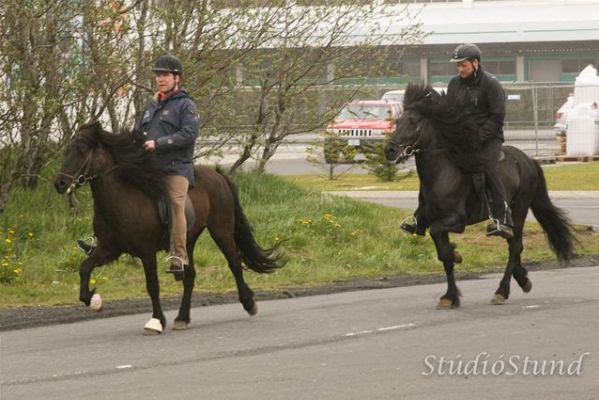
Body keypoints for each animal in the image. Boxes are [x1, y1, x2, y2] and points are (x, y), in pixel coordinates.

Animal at [54, 122, 284, 334]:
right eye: (67, 150)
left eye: (82, 150)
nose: (60, 184)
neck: (123, 200)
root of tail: (218, 175)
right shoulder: (109, 249)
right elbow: (84, 268)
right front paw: (94, 300)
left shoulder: (146, 252)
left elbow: (152, 286)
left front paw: (156, 321)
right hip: (187, 240)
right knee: (190, 276)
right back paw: (182, 318)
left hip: (221, 230)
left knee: (234, 263)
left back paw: (249, 303)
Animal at [384, 83, 576, 310]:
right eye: (397, 121)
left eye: (414, 122)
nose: (389, 150)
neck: (441, 174)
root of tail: (528, 160)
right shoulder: (434, 220)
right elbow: (443, 257)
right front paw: (449, 296)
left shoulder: (455, 221)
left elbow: (442, 245)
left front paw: (455, 254)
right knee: (514, 247)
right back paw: (522, 278)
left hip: (519, 209)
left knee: (515, 247)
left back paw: (502, 291)